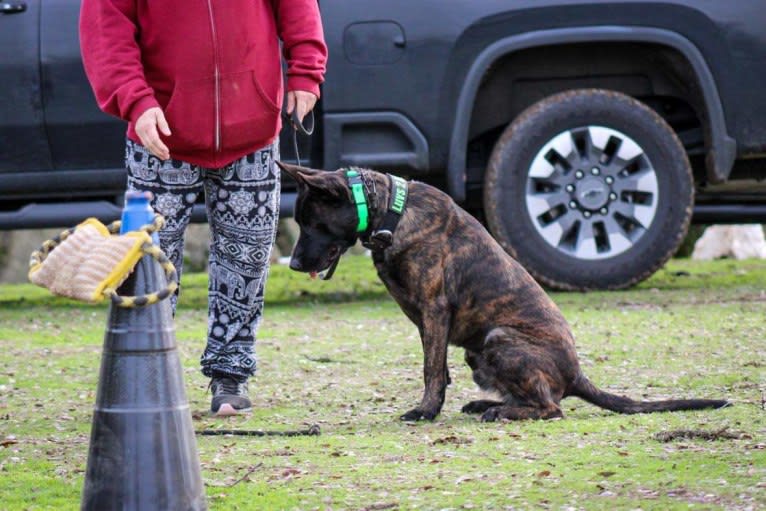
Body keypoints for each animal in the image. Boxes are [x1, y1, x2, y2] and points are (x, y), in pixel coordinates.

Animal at [280, 162, 728, 422]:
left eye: (312, 222)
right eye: (300, 221)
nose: (295, 265)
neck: (393, 211)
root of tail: (576, 373)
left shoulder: (434, 310)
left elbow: (430, 369)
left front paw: (425, 411)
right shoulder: (432, 324)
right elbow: (437, 368)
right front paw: (435, 406)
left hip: (498, 337)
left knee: (552, 408)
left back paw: (501, 412)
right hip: (477, 352)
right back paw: (492, 405)